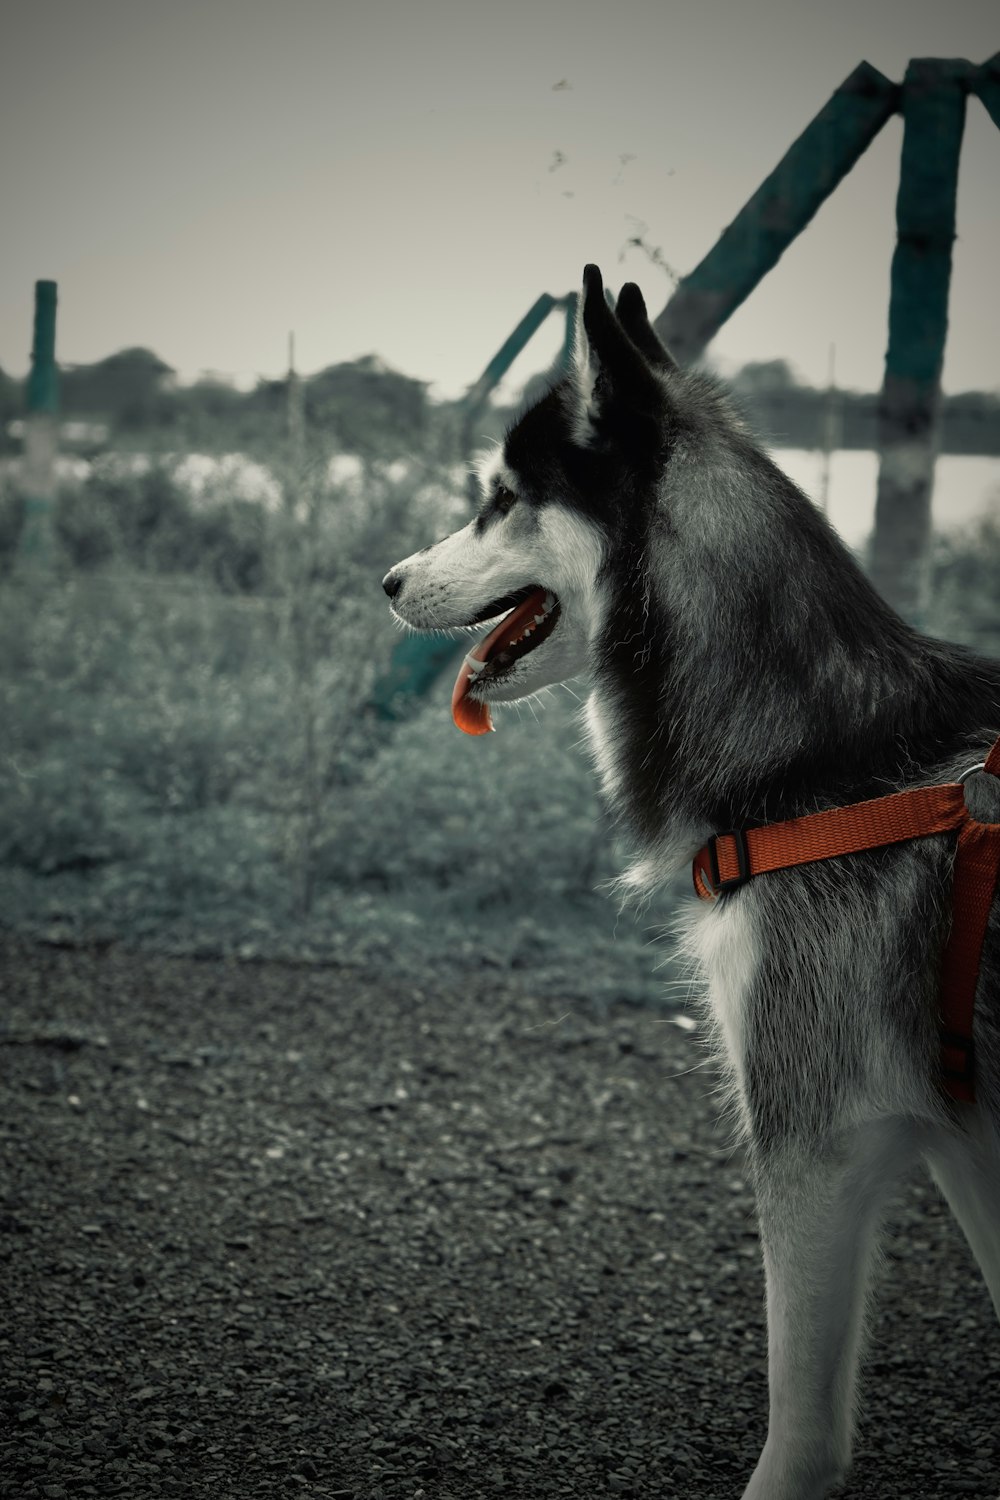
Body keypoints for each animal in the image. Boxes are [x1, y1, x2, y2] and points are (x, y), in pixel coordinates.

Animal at [380, 264, 1000, 1494]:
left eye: (499, 498)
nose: (386, 581)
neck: (820, 764)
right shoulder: (960, 1137)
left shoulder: (817, 1142)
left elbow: (800, 1439)